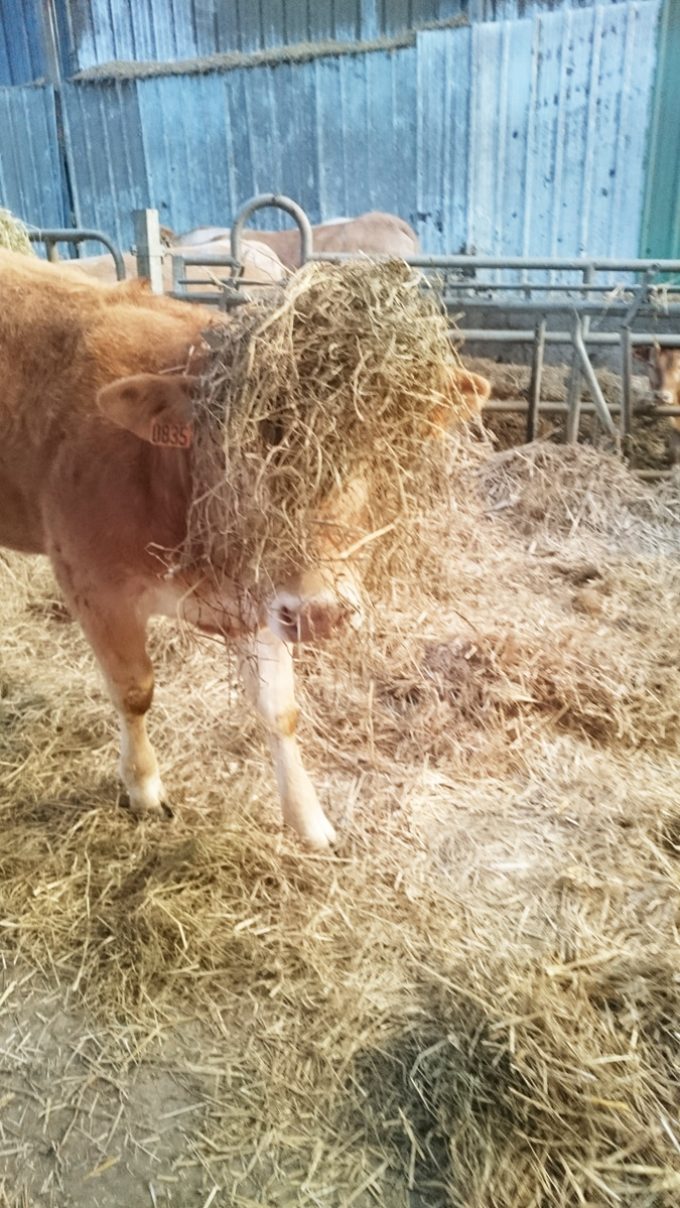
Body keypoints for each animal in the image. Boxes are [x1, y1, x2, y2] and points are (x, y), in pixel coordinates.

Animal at [0, 249, 489, 848]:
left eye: (376, 455)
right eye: (241, 455)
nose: (320, 614)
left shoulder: (260, 603)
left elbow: (281, 711)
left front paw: (310, 821)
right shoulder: (92, 585)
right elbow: (134, 691)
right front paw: (143, 788)